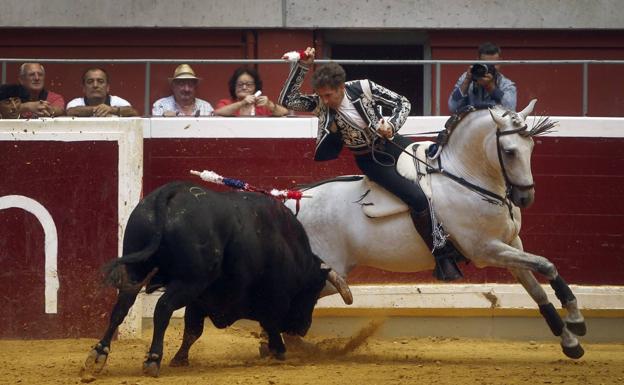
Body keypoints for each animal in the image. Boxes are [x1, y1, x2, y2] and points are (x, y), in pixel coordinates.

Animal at [85, 182, 354, 376]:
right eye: (313, 293)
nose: (303, 328)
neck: (291, 250)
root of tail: (170, 193)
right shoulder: (269, 300)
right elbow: (271, 325)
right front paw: (278, 351)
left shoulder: (200, 301)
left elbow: (192, 330)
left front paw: (180, 359)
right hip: (188, 282)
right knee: (162, 308)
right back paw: (152, 359)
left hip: (138, 272)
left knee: (122, 307)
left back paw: (98, 354)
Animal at [286, 100, 588, 358]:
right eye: (510, 151)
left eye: (531, 146)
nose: (525, 197)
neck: (465, 177)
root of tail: (291, 201)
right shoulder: (486, 250)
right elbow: (546, 264)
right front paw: (576, 319)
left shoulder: (511, 244)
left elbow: (537, 288)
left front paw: (571, 340)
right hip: (328, 273)